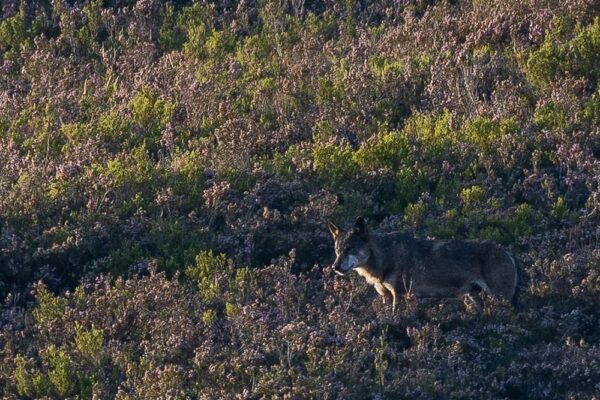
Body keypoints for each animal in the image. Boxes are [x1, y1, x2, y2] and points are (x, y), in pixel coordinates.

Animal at [328, 217, 520, 310]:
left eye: (349, 249)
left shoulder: (399, 295)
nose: (335, 267)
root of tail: (508, 253)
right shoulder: (386, 296)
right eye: (337, 250)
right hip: (475, 297)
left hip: (500, 298)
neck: (385, 256)